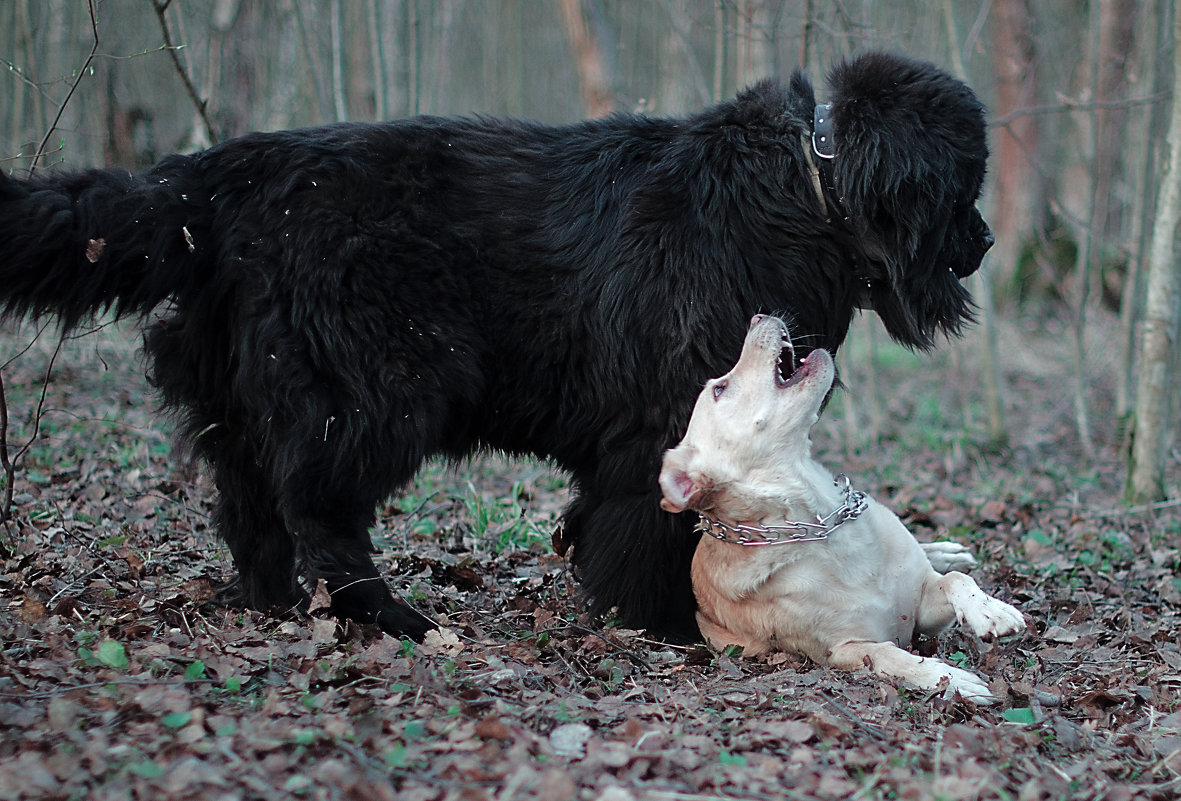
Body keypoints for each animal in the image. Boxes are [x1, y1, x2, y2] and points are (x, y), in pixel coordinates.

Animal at [0, 53, 992, 642]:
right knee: (319, 509)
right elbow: (655, 528)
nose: (984, 240)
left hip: (249, 388)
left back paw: (275, 598)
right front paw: (666, 621)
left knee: (250, 503)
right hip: (372, 387)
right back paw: (387, 613)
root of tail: (220, 176)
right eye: (964, 186)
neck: (805, 188)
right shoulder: (665, 412)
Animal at [661, 316, 1029, 704]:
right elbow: (892, 656)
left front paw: (990, 611)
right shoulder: (846, 648)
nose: (758, 317)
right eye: (719, 389)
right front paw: (951, 680)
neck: (820, 522)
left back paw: (947, 552)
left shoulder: (925, 602)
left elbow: (957, 580)